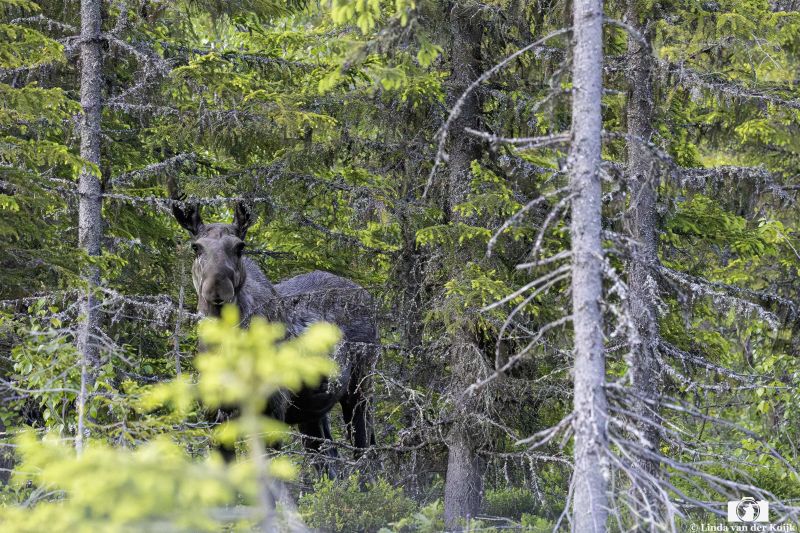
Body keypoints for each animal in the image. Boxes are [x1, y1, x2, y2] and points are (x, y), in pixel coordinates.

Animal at [169, 187, 378, 476]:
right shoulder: (214, 416)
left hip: (360, 389)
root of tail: (367, 295)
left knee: (363, 452)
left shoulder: (271, 409)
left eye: (240, 247)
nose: (217, 288)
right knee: (329, 461)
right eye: (196, 247)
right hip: (313, 412)